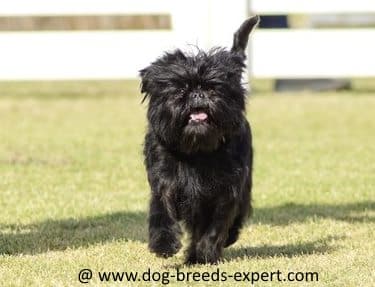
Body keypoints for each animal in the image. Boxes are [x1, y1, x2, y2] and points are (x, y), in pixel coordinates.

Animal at [140, 16, 260, 266]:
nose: (197, 94)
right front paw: (163, 244)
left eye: (213, 88)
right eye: (180, 89)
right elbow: (160, 213)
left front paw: (206, 252)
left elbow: (216, 226)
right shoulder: (164, 183)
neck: (196, 150)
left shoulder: (226, 191)